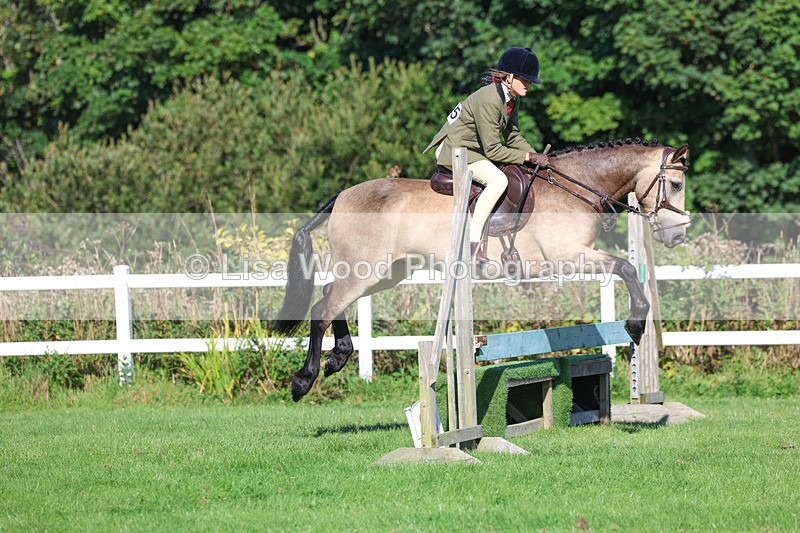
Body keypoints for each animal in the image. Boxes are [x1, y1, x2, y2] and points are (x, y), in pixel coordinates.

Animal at [269, 138, 690, 401]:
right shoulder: (569, 256)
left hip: (387, 272)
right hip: (367, 269)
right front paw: (635, 323)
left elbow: (626, 270)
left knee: (330, 298)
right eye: (675, 184)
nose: (678, 235)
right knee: (324, 307)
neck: (577, 187)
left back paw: (338, 356)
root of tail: (343, 195)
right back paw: (304, 380)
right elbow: (626, 269)